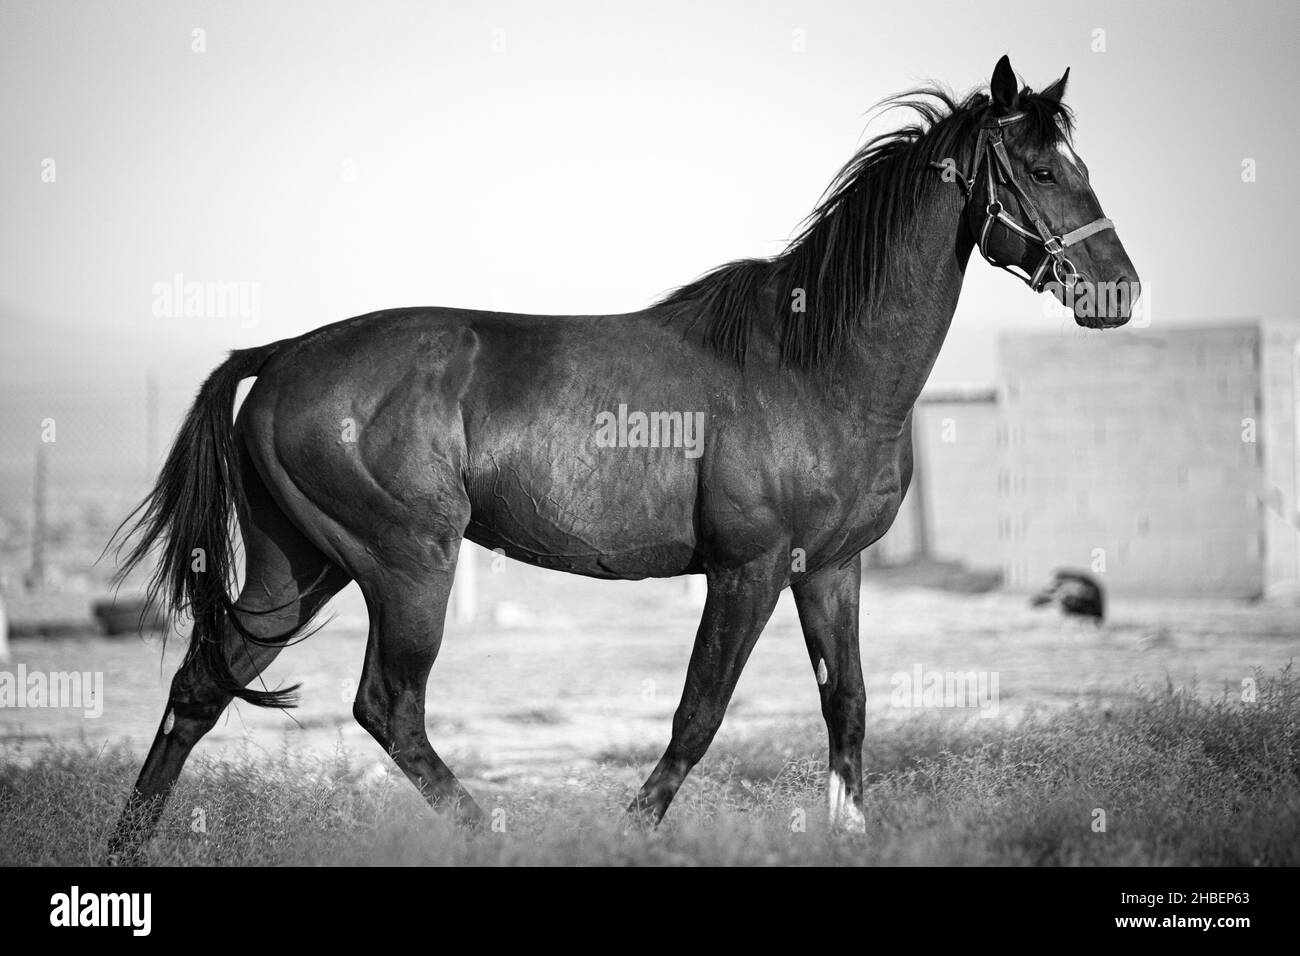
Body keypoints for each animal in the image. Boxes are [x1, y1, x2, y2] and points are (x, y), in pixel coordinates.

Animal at [104, 55, 1138, 858]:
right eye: (1040, 169)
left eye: (1080, 164)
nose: (1120, 291)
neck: (814, 364)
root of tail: (280, 356)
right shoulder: (748, 570)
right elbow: (698, 713)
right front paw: (632, 831)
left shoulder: (831, 568)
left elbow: (846, 705)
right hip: (404, 567)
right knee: (387, 707)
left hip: (301, 566)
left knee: (201, 688)